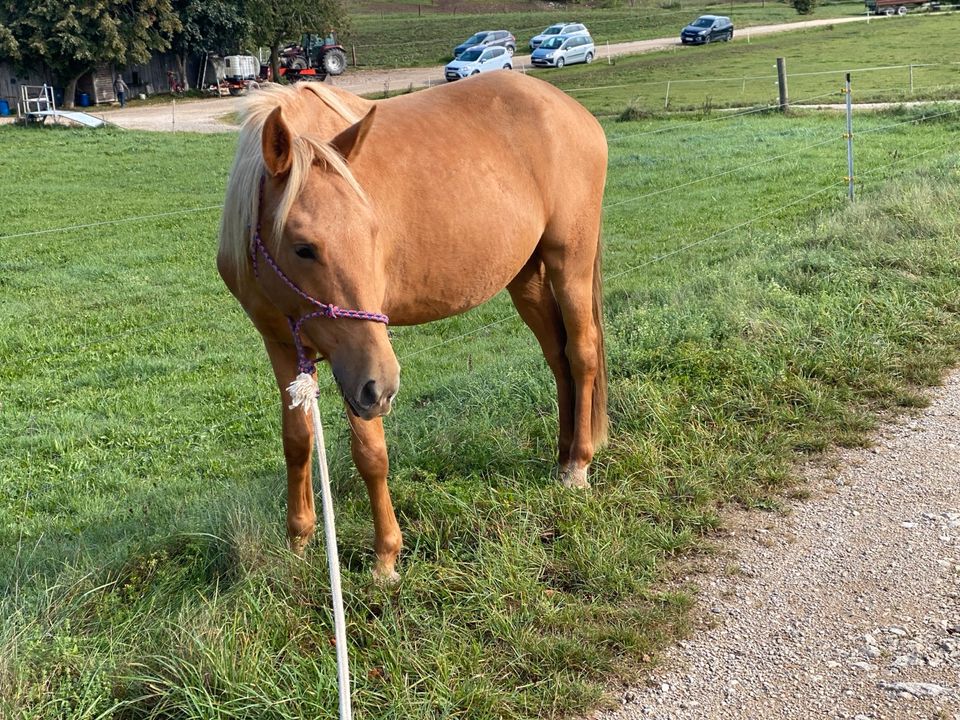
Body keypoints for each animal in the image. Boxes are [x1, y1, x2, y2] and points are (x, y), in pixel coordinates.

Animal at [219, 71, 608, 584]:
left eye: (373, 231)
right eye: (303, 247)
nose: (383, 385)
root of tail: (573, 111)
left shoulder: (359, 367)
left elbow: (370, 453)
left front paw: (385, 557)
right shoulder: (283, 344)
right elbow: (297, 440)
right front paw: (299, 541)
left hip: (570, 263)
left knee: (582, 353)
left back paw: (578, 466)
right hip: (525, 277)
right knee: (558, 358)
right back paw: (563, 457)